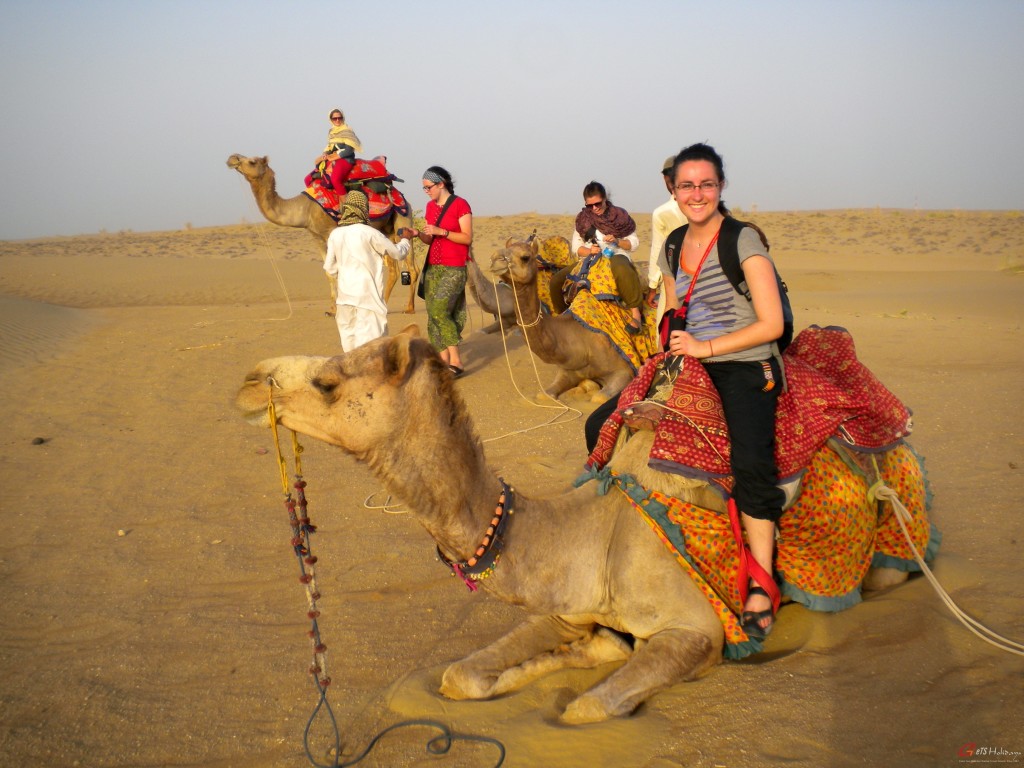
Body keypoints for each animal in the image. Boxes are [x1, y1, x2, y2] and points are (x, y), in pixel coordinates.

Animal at [226, 153, 417, 313]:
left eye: (252, 161)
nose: (232, 158)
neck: (304, 208)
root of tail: (403, 197)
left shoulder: (330, 232)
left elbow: (337, 270)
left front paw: (337, 308)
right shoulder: (316, 236)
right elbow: (328, 272)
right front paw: (331, 310)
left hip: (403, 218)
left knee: (411, 267)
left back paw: (409, 308)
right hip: (385, 229)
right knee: (393, 269)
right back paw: (383, 305)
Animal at [235, 331, 925, 729]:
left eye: (328, 381)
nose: (246, 380)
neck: (595, 534)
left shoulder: (696, 629)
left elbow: (588, 705)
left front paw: (600, 661)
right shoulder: (565, 606)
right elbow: (461, 677)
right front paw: (592, 649)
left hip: (889, 540)